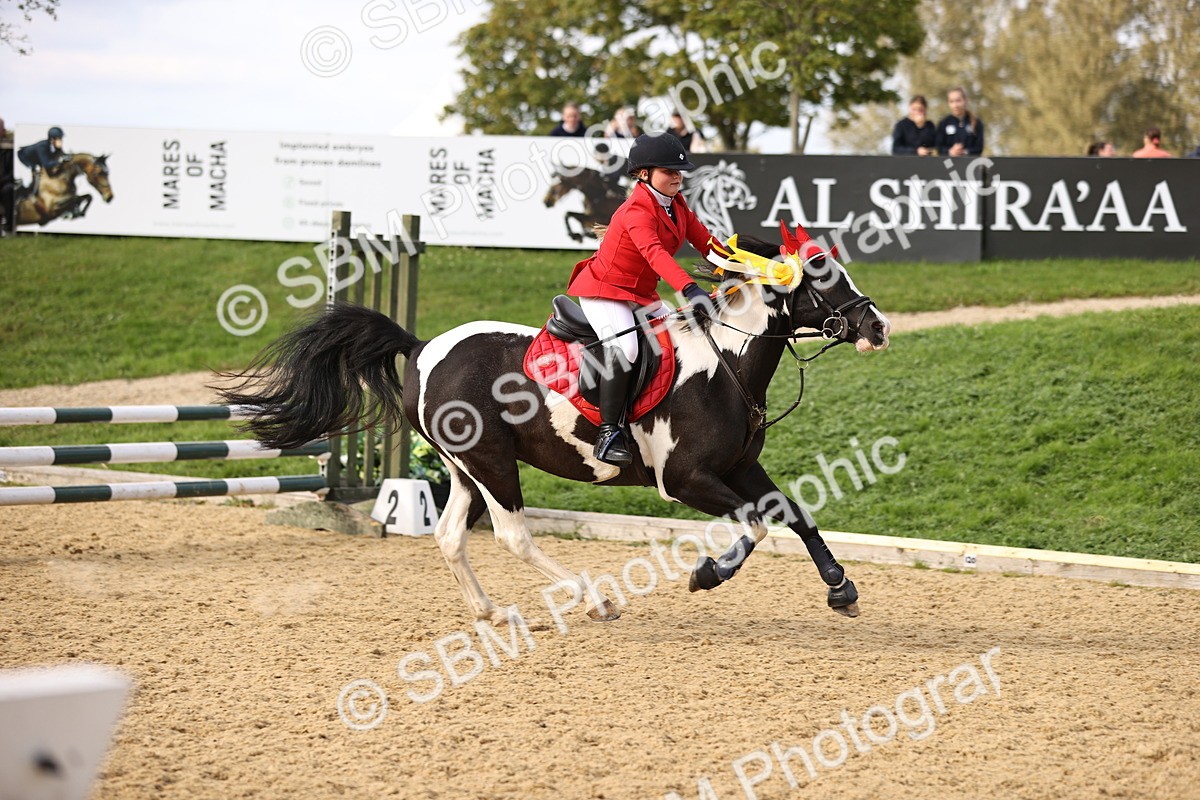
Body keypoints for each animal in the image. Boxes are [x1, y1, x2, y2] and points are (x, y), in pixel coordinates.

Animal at [217, 226, 891, 627]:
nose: (878, 327)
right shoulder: (687, 480)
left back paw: (491, 613)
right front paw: (706, 574)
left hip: (464, 470)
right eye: (823, 275)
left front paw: (841, 588)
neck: (725, 363)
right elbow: (754, 523)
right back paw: (594, 599)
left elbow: (793, 513)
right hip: (492, 463)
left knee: (452, 537)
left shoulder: (739, 466)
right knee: (513, 535)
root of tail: (424, 345)